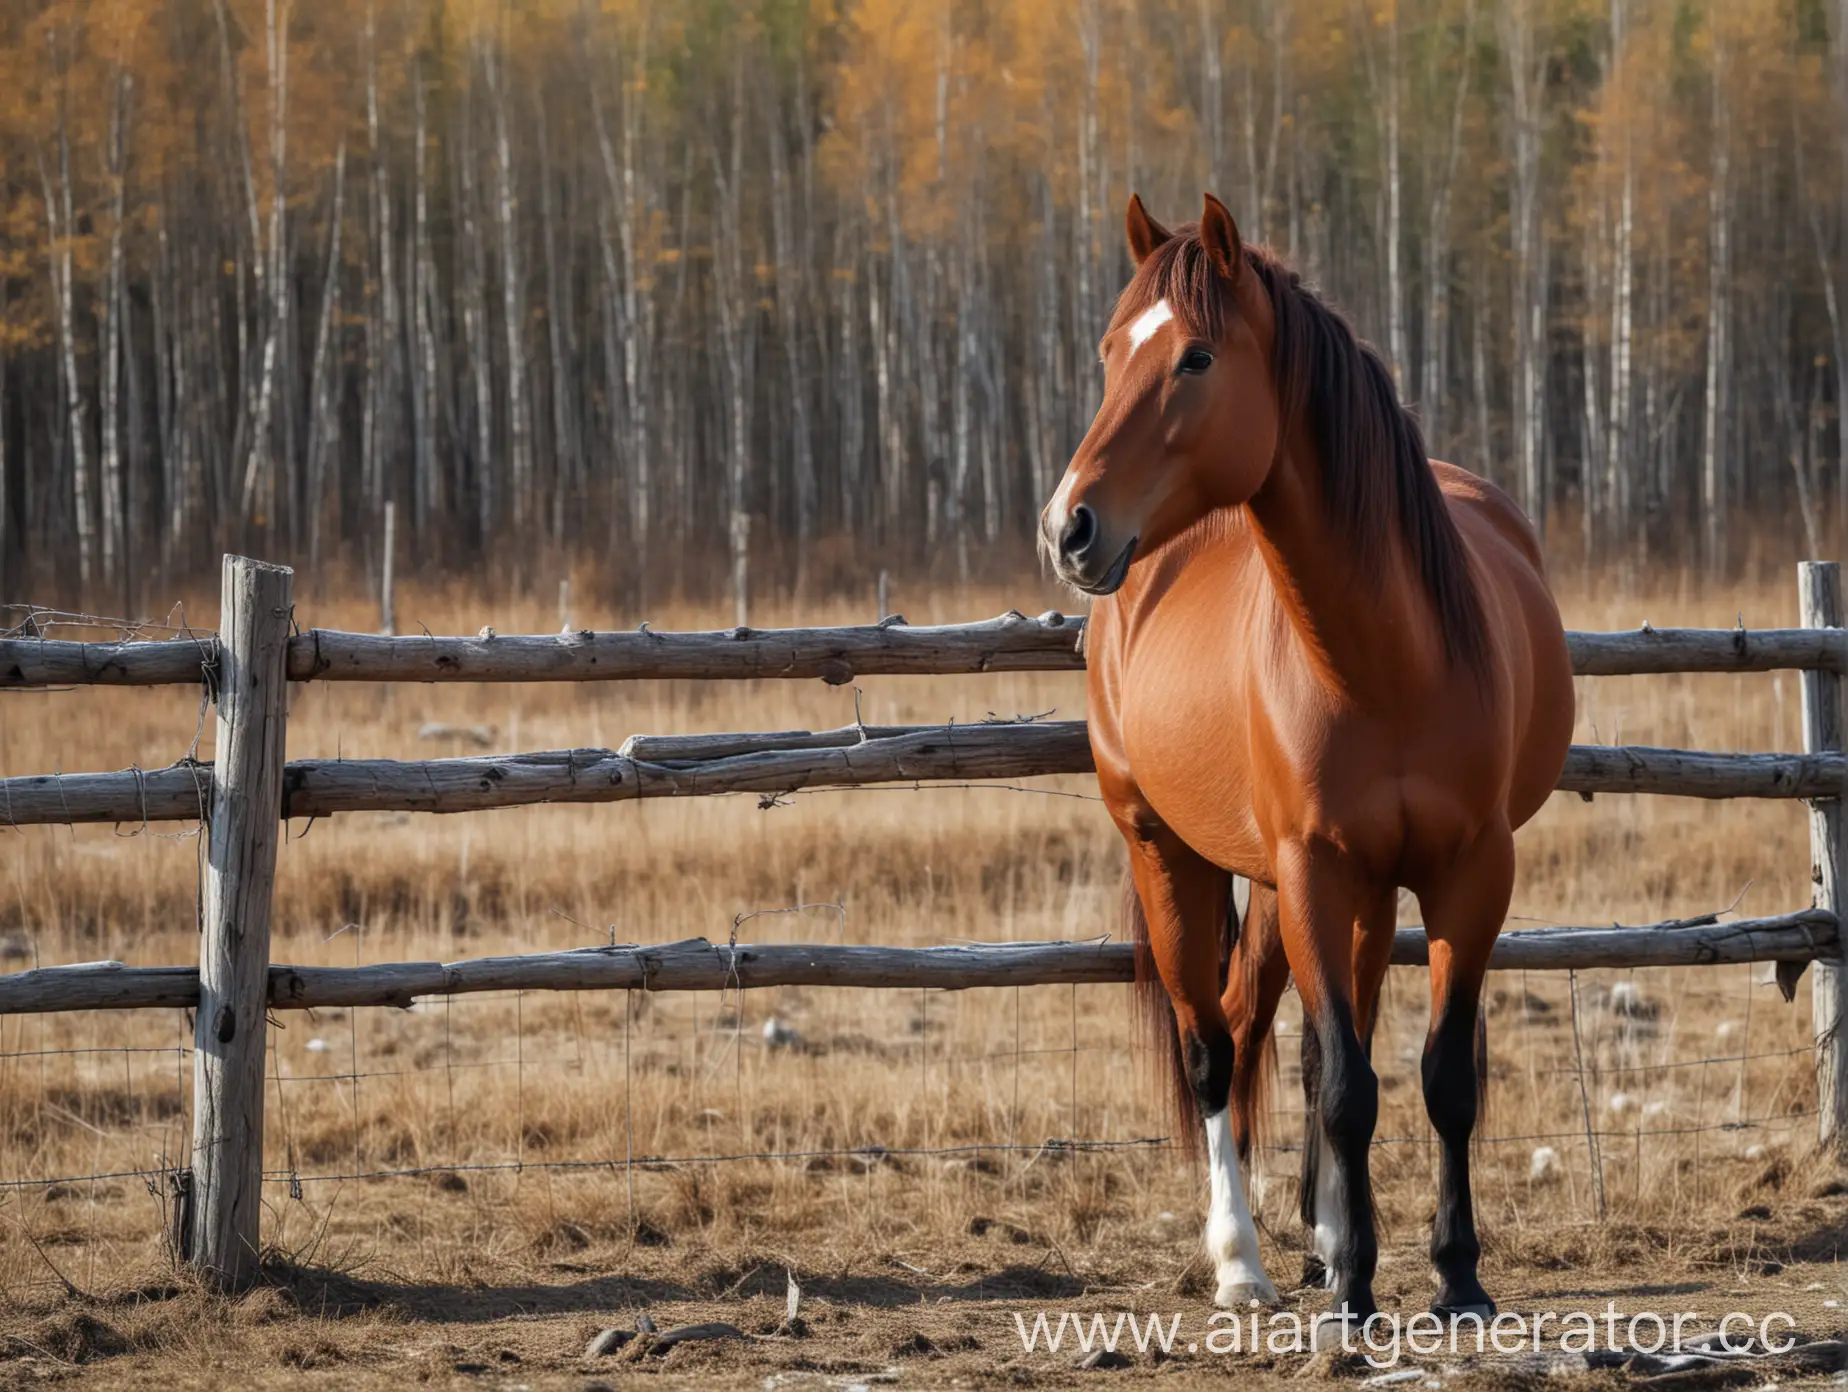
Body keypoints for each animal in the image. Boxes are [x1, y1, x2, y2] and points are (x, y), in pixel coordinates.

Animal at [1042, 193, 1574, 1316]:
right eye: (1110, 353)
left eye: (1196, 358)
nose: (1069, 528)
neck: (1386, 657)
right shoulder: (1314, 869)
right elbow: (1343, 1086)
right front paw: (1356, 1291)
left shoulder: (1470, 872)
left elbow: (1436, 1076)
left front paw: (1455, 1275)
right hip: (1173, 853)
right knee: (1215, 1045)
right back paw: (1242, 1261)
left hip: (1332, 889)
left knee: (1296, 1035)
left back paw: (1323, 1235)